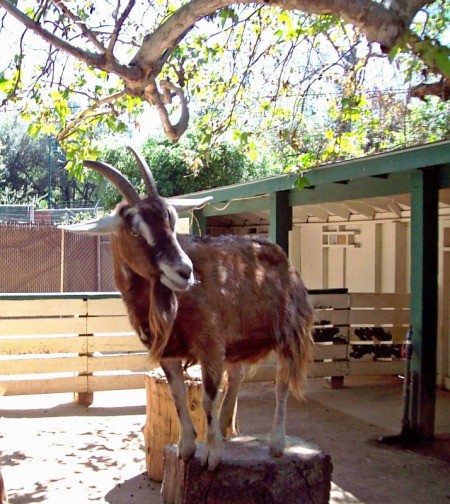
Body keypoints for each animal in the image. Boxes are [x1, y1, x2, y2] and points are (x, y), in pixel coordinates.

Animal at [62, 148, 312, 470]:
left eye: (171, 221)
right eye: (134, 231)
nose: (184, 271)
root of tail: (280, 255)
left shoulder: (210, 344)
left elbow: (207, 396)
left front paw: (211, 453)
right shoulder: (169, 352)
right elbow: (179, 396)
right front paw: (187, 446)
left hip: (288, 332)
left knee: (281, 383)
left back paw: (277, 444)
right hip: (236, 344)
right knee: (237, 376)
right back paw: (226, 429)